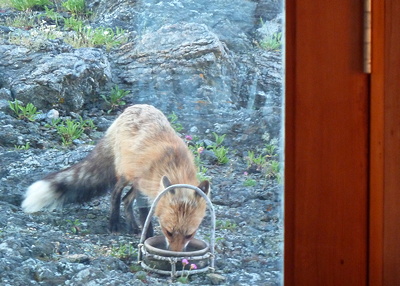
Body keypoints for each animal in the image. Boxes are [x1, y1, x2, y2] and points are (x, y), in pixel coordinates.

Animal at [22, 104, 209, 251]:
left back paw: (132, 226)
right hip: (126, 175)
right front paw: (147, 235)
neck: (173, 166)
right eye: (168, 232)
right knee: (116, 194)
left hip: (134, 180)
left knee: (126, 200)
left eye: (189, 235)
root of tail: (131, 108)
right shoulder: (144, 189)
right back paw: (114, 223)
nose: (176, 255)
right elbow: (145, 215)